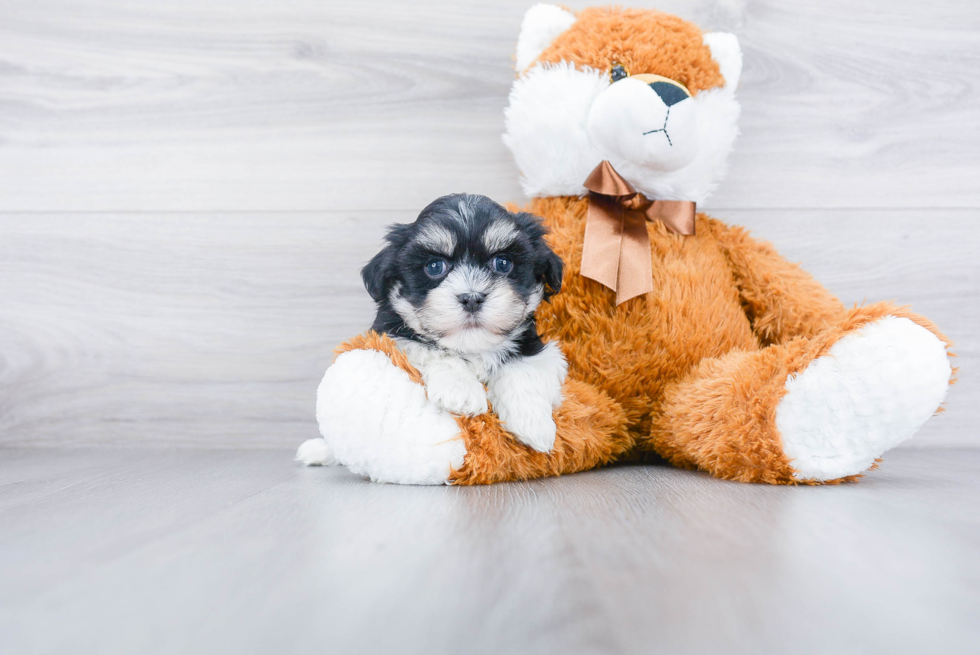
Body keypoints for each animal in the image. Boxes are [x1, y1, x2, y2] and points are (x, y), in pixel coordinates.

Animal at [362, 192, 568, 454]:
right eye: (434, 267)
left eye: (502, 263)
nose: (472, 298)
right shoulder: (391, 335)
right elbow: (433, 350)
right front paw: (460, 390)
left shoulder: (533, 345)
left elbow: (522, 365)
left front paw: (533, 421)